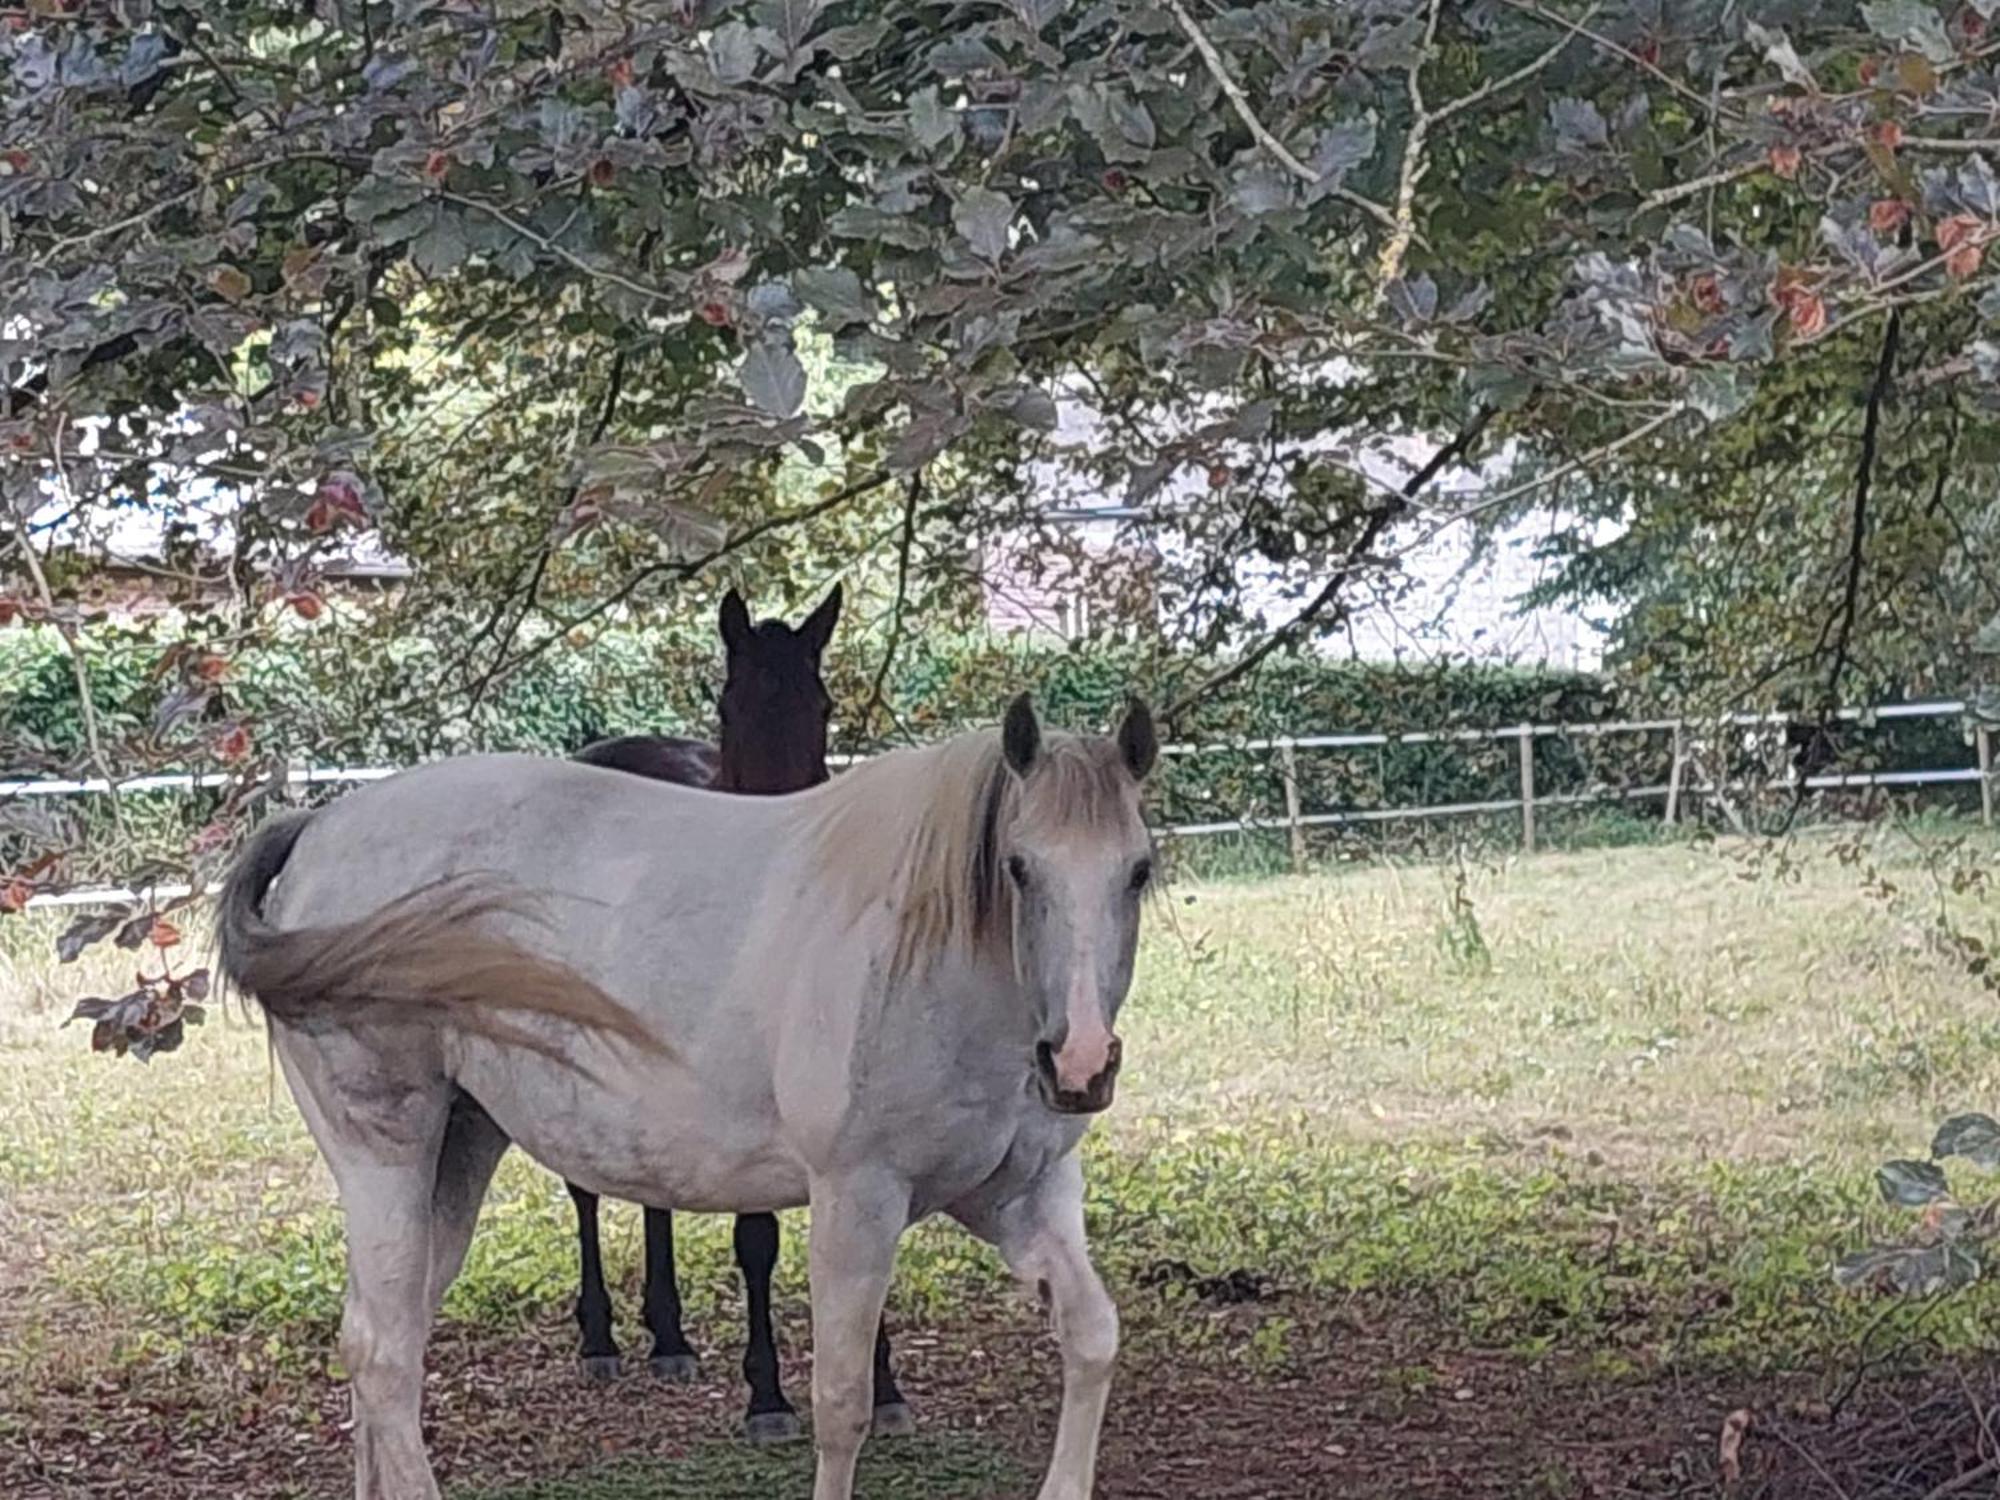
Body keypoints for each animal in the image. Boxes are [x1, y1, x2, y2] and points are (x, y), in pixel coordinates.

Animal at [217, 700, 1160, 1496]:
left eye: (1138, 871)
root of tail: (319, 829)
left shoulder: (1017, 1195)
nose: (1079, 1064)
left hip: (455, 1154)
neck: (933, 956)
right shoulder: (857, 1200)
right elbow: (843, 1404)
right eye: (1019, 868)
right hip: (387, 1156)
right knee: (381, 1355)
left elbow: (1093, 1337)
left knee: (385, 1343)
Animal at [564, 588, 908, 1448]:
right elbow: (757, 1240)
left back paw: (669, 1337)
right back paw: (601, 1337)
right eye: (732, 703)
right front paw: (768, 1396)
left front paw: (883, 1383)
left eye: (821, 705)